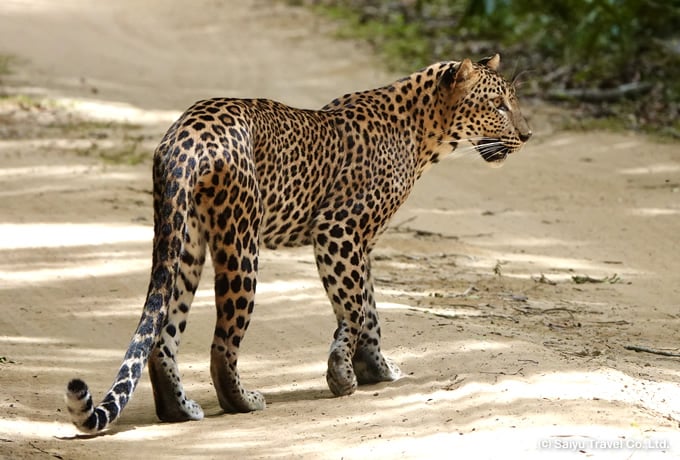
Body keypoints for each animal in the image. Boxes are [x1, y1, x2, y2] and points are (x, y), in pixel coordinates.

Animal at [63, 54, 532, 432]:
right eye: (498, 105)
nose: (528, 135)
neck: (424, 132)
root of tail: (185, 137)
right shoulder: (338, 230)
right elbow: (356, 307)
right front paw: (344, 373)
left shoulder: (358, 242)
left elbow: (368, 308)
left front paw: (373, 368)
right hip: (241, 242)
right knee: (222, 343)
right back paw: (243, 401)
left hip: (185, 241)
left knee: (163, 335)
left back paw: (179, 410)